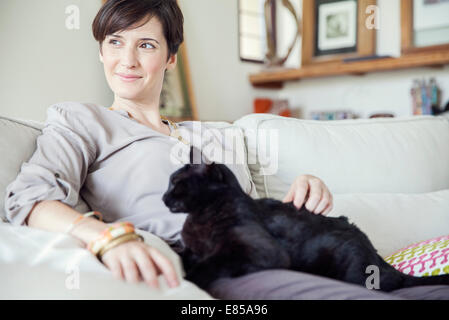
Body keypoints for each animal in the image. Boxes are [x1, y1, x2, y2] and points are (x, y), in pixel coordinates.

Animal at [163, 146, 448, 292]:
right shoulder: (192, 248)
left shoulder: (259, 251)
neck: (202, 215)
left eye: (175, 183)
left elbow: (212, 262)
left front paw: (190, 278)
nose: (163, 198)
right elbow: (184, 254)